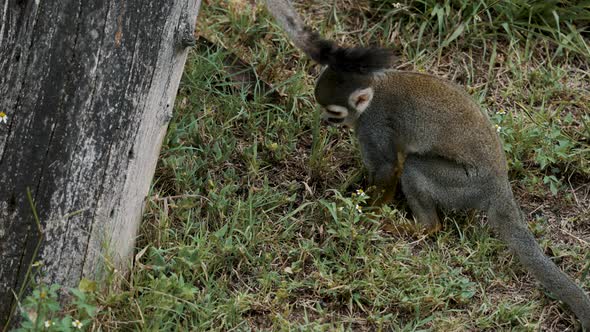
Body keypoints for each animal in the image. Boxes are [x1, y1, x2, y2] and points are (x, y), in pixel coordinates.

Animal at [268, 0, 590, 328]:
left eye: (333, 111)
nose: (324, 119)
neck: (373, 96)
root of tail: (499, 184)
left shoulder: (372, 124)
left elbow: (389, 166)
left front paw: (368, 214)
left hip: (463, 184)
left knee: (414, 168)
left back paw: (424, 227)